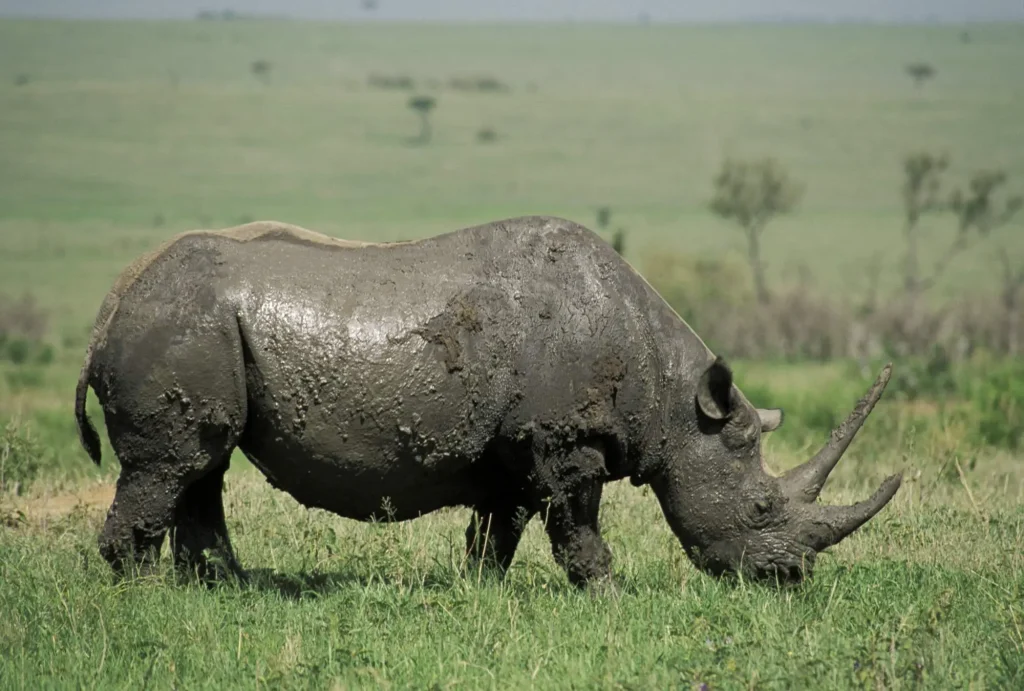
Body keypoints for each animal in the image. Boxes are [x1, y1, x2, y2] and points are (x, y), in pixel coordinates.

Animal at [74, 216, 901, 587]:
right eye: (760, 508)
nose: (788, 578)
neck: (675, 397)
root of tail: (110, 303)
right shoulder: (566, 442)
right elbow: (576, 525)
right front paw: (609, 596)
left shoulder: (518, 447)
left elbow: (499, 529)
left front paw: (481, 591)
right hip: (181, 324)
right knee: (173, 464)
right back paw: (147, 593)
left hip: (195, 326)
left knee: (201, 467)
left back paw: (223, 588)